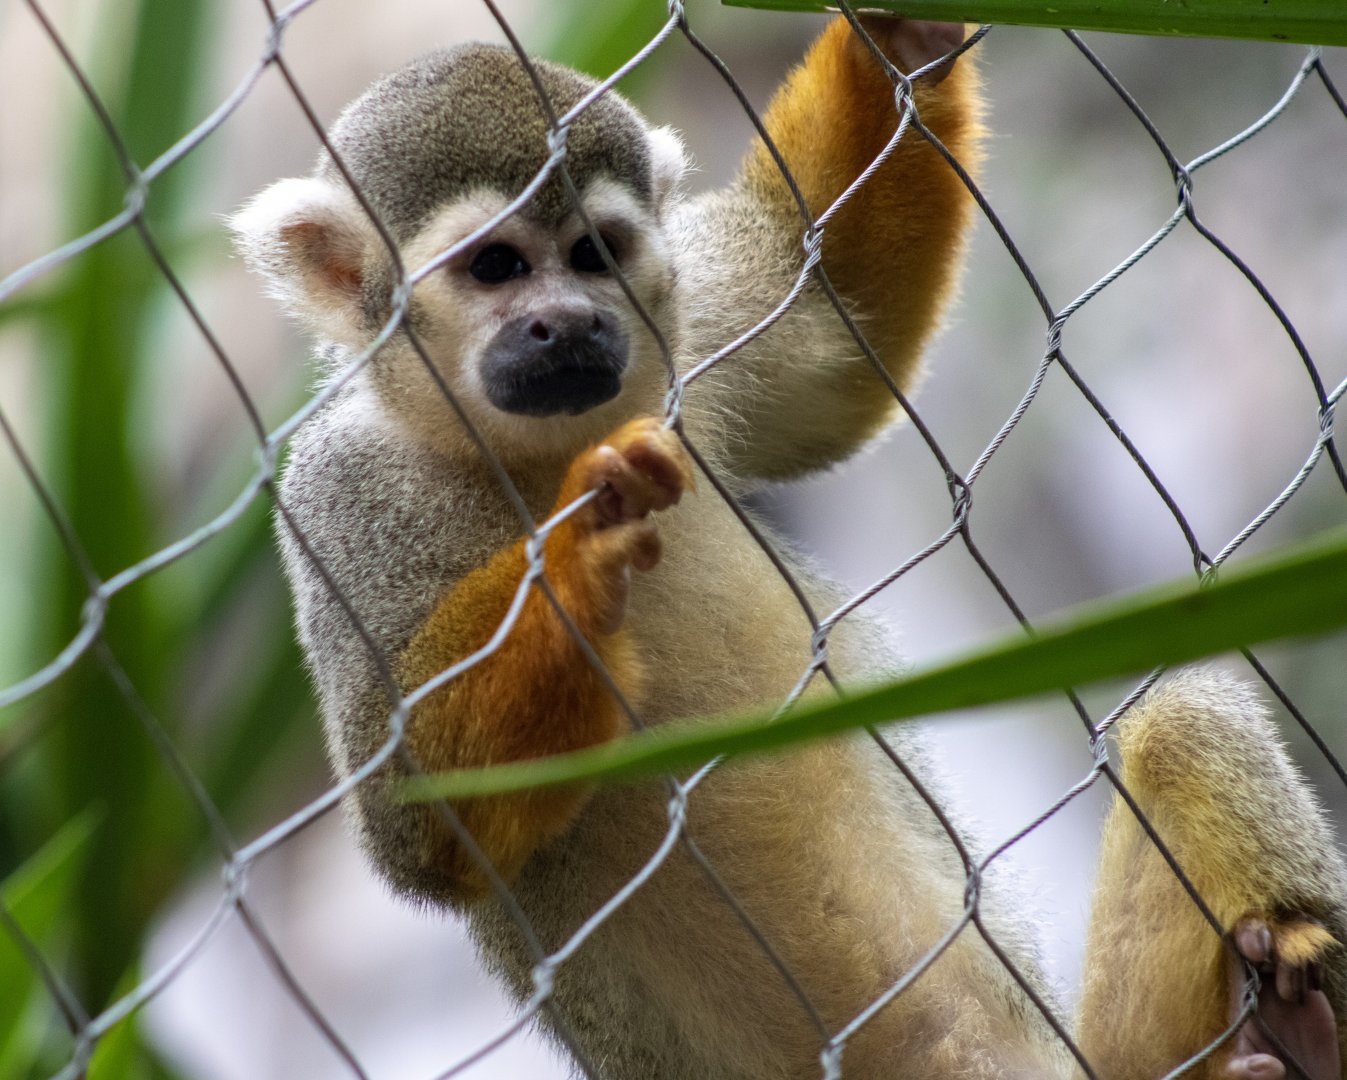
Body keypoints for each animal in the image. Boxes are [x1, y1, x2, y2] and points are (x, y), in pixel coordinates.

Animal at [232, 14, 1347, 1079]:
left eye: (594, 254)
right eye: (497, 267)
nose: (567, 323)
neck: (526, 451)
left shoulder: (687, 331)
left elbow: (832, 332)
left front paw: (897, 47)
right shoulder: (337, 497)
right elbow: (419, 824)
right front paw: (581, 550)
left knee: (1181, 717)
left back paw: (1294, 1027)